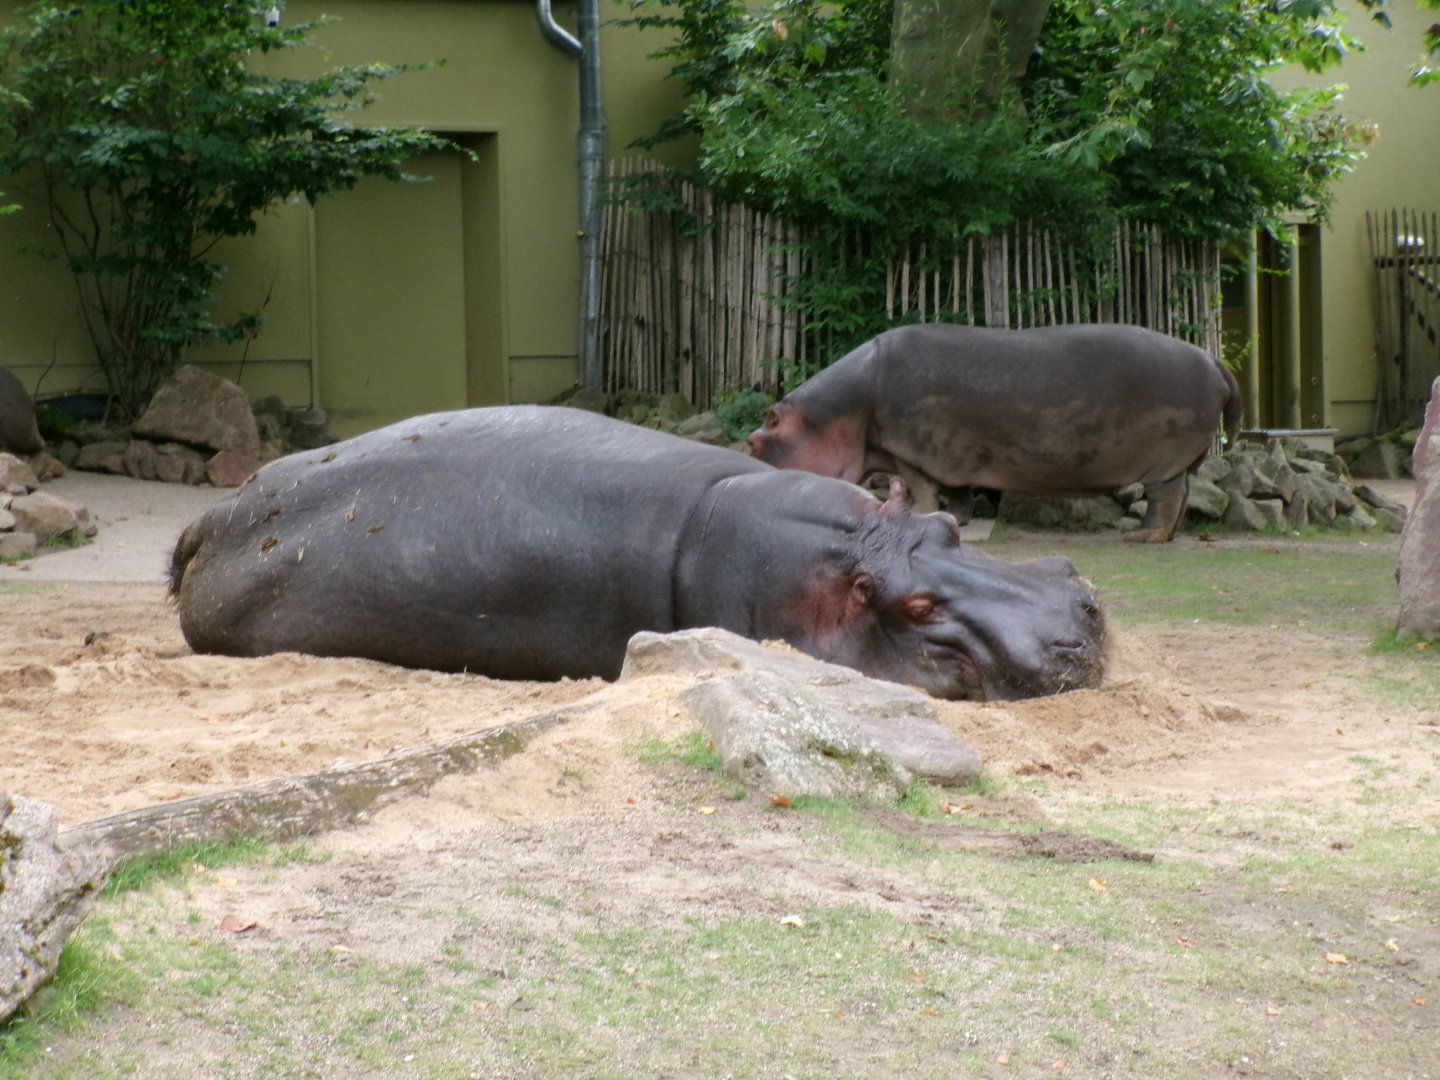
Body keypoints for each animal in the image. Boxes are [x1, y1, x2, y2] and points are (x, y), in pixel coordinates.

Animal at [747, 323, 1242, 543]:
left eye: (759, 435)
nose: (745, 449)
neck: (847, 404)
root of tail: (1213, 360)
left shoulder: (908, 449)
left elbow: (920, 487)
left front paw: (924, 515)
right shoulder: (950, 454)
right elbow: (957, 494)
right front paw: (957, 519)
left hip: (1165, 462)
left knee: (1166, 499)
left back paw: (1141, 538)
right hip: (1182, 460)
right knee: (1182, 497)